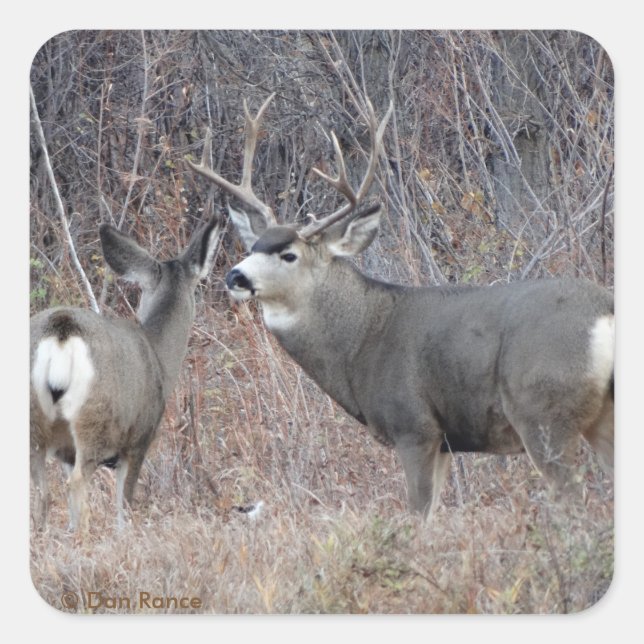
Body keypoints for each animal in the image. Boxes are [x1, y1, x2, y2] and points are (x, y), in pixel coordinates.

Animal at [30, 217, 221, 532]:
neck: (158, 356)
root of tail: (62, 330)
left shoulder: (67, 451)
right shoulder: (139, 439)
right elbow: (124, 507)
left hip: (35, 421)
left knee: (40, 494)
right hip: (93, 420)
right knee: (78, 485)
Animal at [188, 94, 614, 518]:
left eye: (289, 254)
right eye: (253, 247)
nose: (235, 277)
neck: (361, 339)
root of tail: (605, 311)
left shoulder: (415, 427)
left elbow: (419, 514)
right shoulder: (444, 442)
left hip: (542, 411)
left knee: (573, 498)